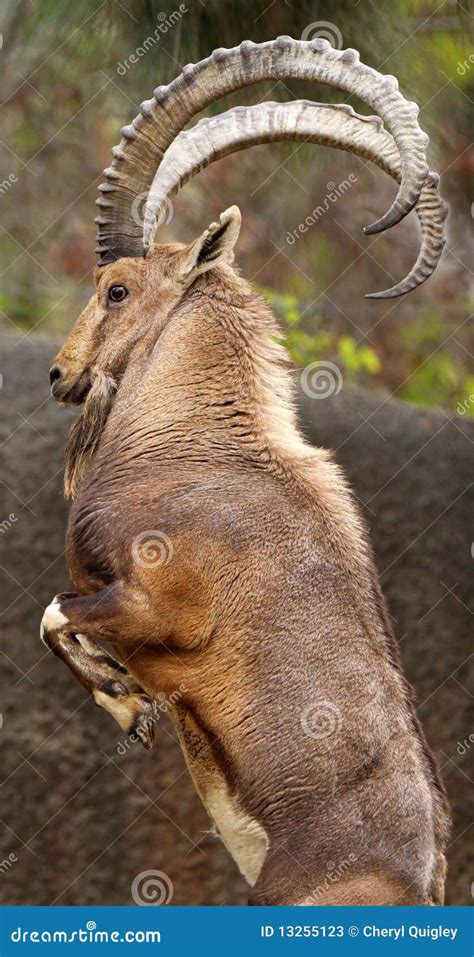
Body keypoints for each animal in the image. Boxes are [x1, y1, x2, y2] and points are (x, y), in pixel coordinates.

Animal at [40, 37, 448, 904]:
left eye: (117, 289)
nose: (60, 374)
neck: (197, 440)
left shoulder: (154, 611)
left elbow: (54, 613)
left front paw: (127, 704)